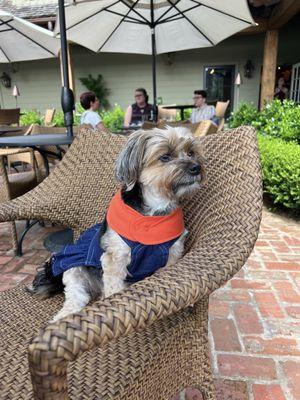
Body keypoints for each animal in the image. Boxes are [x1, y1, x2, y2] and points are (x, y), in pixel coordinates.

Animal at [28, 127, 205, 322]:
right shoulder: (115, 257)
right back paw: (64, 315)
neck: (153, 213)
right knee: (77, 296)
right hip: (72, 264)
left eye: (191, 152)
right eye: (165, 156)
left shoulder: (173, 253)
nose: (196, 167)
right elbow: (114, 288)